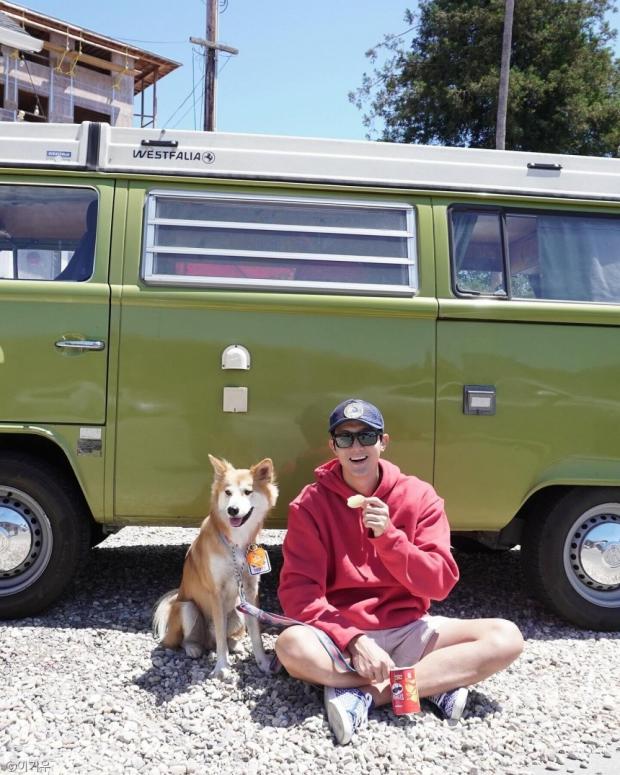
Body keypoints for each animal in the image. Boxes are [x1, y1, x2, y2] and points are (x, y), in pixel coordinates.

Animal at [152, 454, 278, 678]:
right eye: (227, 492)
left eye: (248, 491)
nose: (232, 510)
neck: (235, 543)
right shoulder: (216, 592)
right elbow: (220, 638)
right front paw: (222, 667)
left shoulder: (251, 590)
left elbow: (256, 635)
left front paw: (263, 662)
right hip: (188, 608)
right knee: (190, 641)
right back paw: (194, 648)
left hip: (239, 611)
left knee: (226, 638)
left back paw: (235, 645)